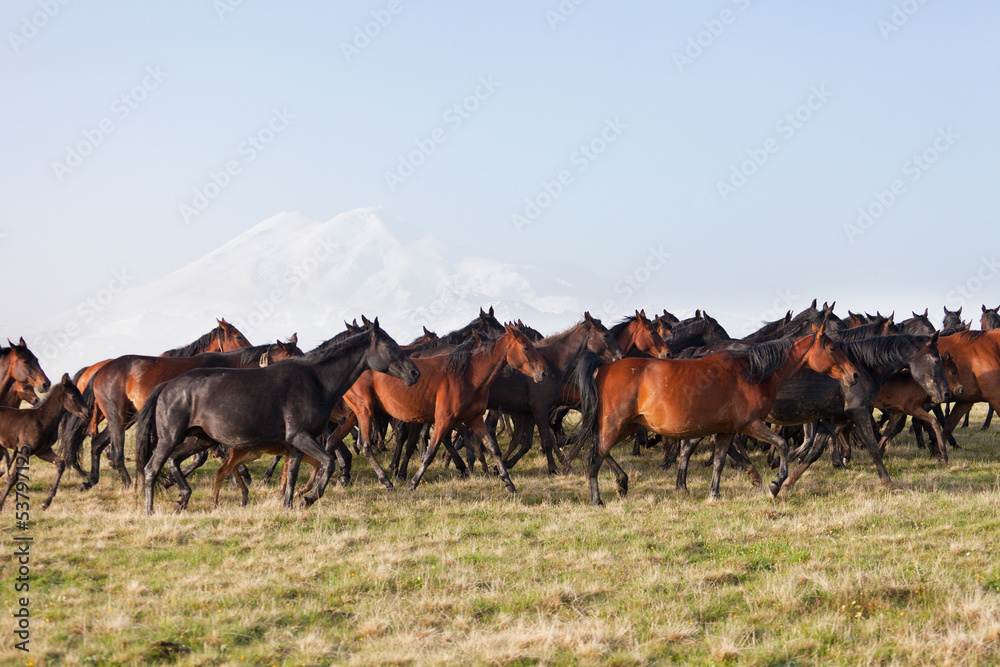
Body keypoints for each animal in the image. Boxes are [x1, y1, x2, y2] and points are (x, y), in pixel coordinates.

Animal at [0, 374, 89, 511]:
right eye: (73, 396)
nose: (88, 413)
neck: (41, 420)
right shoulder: (23, 450)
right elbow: (13, 477)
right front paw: (0, 504)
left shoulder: (43, 451)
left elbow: (60, 464)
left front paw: (46, 503)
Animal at [135, 320, 419, 513]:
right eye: (390, 345)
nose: (415, 373)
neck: (315, 379)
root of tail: (167, 386)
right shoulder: (301, 437)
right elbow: (327, 463)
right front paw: (309, 498)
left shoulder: (295, 444)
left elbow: (291, 476)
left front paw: (288, 505)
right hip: (170, 438)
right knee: (151, 469)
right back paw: (150, 510)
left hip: (199, 439)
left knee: (173, 462)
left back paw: (182, 497)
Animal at [577, 325, 860, 505]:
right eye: (832, 349)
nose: (855, 374)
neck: (751, 372)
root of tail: (603, 368)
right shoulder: (750, 424)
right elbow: (781, 444)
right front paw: (775, 484)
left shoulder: (726, 430)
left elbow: (719, 462)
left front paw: (714, 493)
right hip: (615, 425)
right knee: (595, 457)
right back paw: (597, 499)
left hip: (627, 425)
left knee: (599, 452)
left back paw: (621, 482)